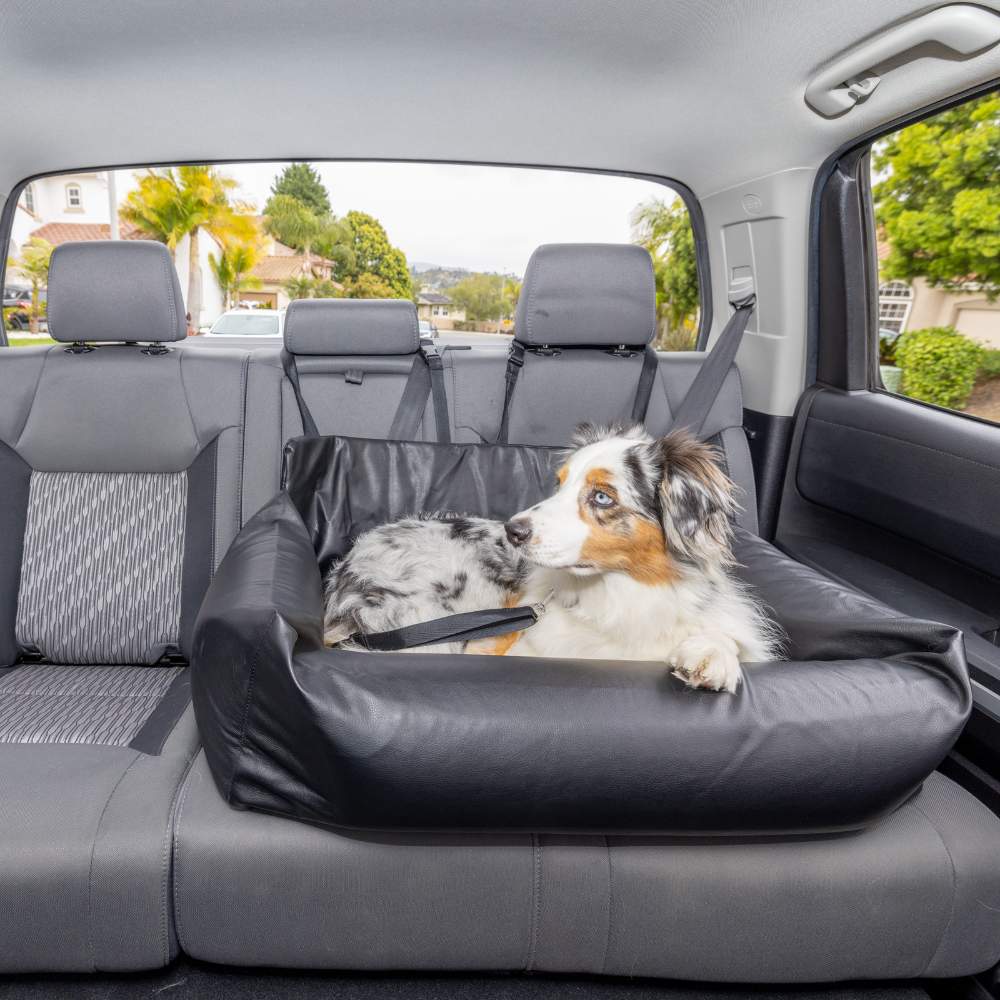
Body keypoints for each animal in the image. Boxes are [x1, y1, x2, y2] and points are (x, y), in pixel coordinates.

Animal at [324, 424, 776, 696]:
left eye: (601, 496)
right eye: (559, 484)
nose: (513, 530)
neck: (618, 596)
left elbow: (728, 638)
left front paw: (710, 658)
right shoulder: (501, 647)